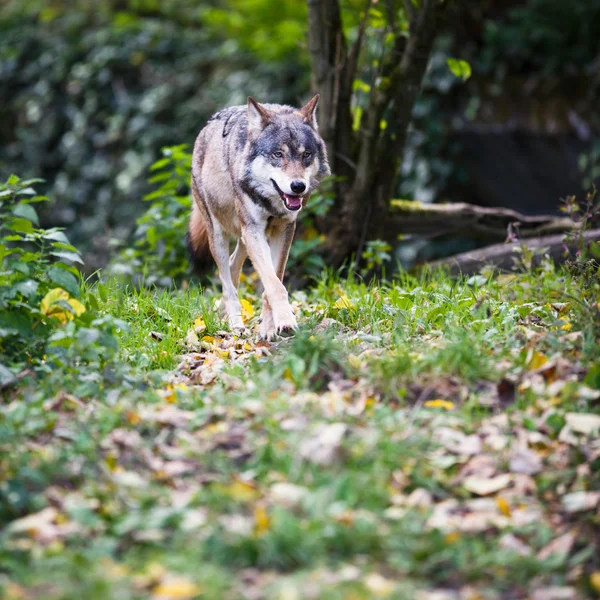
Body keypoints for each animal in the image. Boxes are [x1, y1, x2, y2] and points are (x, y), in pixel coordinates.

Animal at [188, 94, 330, 338]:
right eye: (278, 154)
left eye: (306, 155)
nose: (298, 186)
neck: (271, 202)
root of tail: (208, 125)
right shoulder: (254, 230)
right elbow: (274, 285)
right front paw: (285, 321)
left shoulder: (284, 229)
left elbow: (274, 280)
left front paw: (270, 327)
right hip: (219, 234)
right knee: (226, 280)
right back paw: (235, 324)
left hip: (245, 238)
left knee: (233, 267)